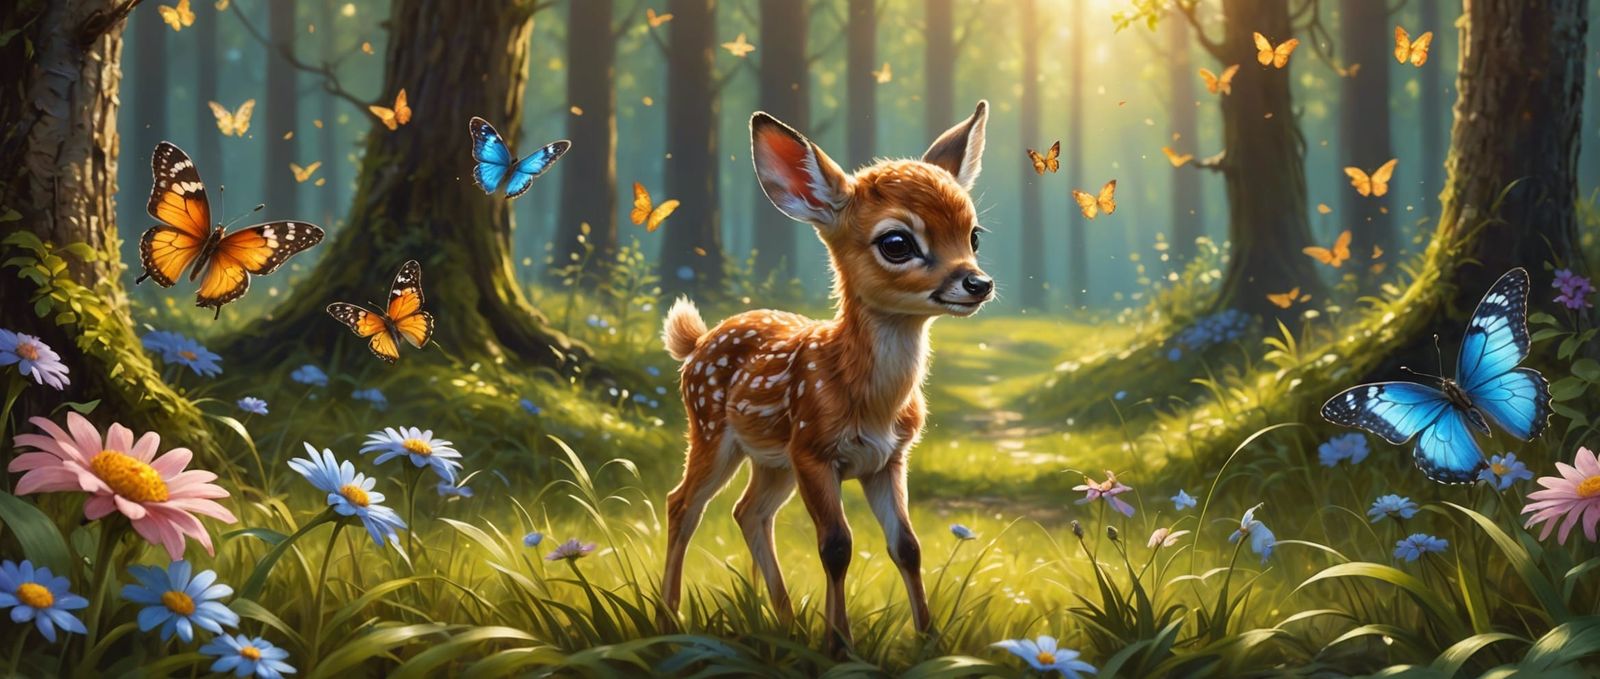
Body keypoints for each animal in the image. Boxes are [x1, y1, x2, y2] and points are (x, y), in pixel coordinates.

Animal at [659, 101, 994, 651]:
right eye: (897, 242)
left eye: (974, 235)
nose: (978, 283)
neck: (870, 400)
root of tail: (698, 341)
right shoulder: (814, 450)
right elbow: (836, 545)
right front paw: (839, 646)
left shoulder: (889, 459)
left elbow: (908, 546)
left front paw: (931, 641)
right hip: (711, 431)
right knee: (682, 503)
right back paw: (668, 617)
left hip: (771, 459)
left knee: (749, 511)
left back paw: (786, 621)